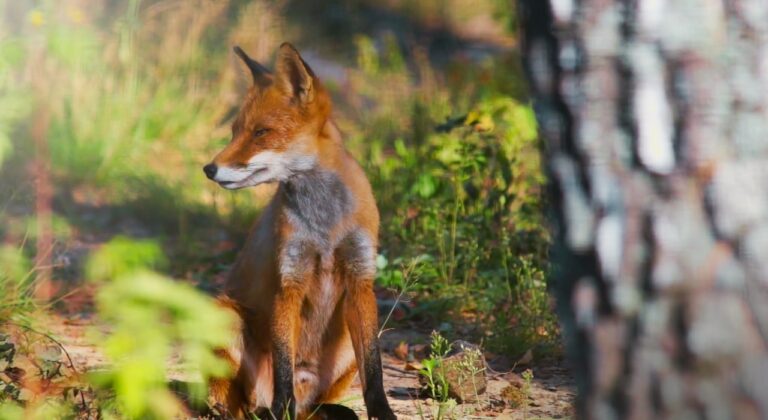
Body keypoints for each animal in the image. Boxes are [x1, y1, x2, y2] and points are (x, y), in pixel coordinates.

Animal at [204, 43, 396, 420]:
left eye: (261, 132)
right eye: (235, 131)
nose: (209, 168)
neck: (325, 227)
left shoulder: (360, 278)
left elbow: (375, 372)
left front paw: (383, 413)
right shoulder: (288, 280)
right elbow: (283, 367)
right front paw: (283, 410)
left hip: (347, 345)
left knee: (313, 407)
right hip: (224, 316)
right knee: (239, 404)